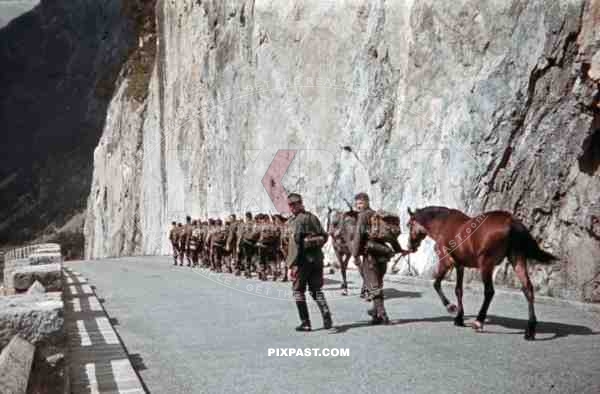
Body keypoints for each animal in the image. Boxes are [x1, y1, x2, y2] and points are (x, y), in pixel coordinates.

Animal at [406, 206, 556, 338]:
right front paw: (459, 318)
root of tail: (511, 221)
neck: (443, 224)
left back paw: (479, 321)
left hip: (486, 264)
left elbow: (436, 284)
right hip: (517, 259)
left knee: (489, 291)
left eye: (409, 225)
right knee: (528, 288)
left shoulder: (446, 262)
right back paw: (530, 330)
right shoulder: (460, 266)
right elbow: (458, 290)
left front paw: (451, 307)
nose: (410, 246)